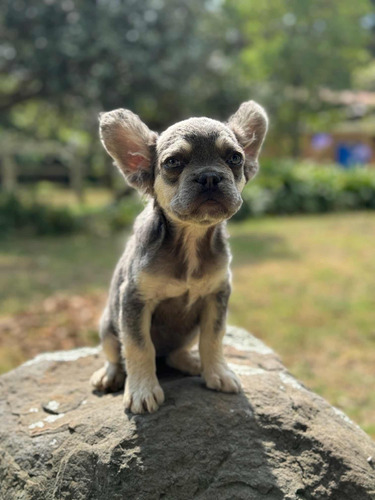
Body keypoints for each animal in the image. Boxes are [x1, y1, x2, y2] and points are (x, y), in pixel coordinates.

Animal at [90, 100, 268, 414]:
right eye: (173, 162)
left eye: (235, 158)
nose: (210, 176)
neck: (191, 239)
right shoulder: (134, 300)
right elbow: (138, 346)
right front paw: (142, 390)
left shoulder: (216, 296)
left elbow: (213, 338)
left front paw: (217, 372)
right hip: (109, 326)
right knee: (116, 354)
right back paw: (111, 375)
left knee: (176, 353)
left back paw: (191, 362)